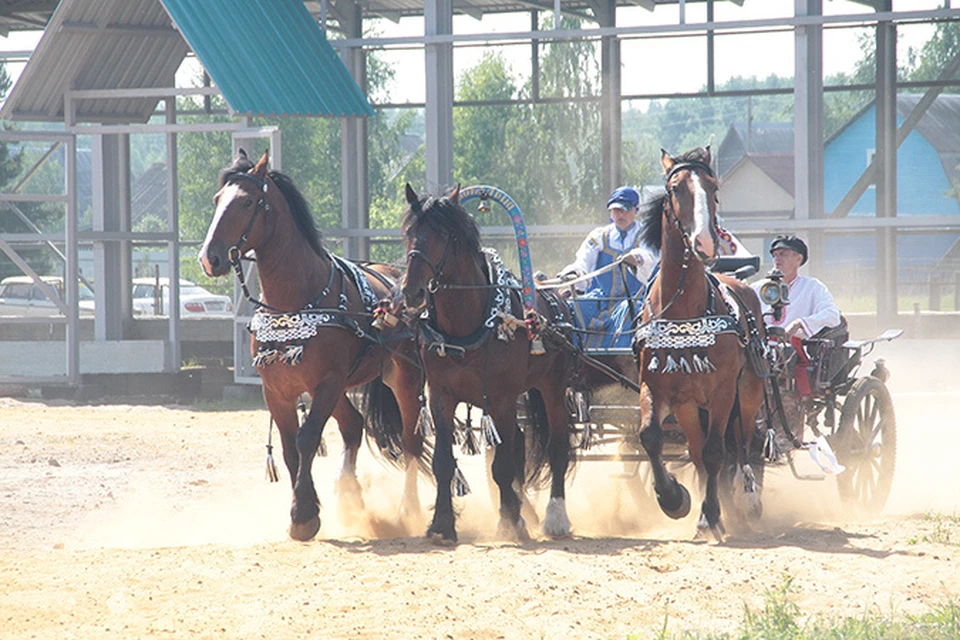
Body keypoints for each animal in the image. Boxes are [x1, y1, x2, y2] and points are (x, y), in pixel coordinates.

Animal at [198, 150, 424, 540]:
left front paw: (305, 515)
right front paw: (301, 511)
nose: (209, 258)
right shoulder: (277, 390)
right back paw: (349, 494)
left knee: (411, 441)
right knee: (353, 426)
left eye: (246, 202)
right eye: (217, 200)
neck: (295, 301)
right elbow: (290, 448)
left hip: (404, 378)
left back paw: (408, 509)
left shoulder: (327, 382)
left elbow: (306, 439)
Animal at [396, 182, 568, 544]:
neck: (467, 325)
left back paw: (555, 516)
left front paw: (511, 521)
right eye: (409, 232)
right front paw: (442, 524)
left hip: (553, 386)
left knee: (558, 446)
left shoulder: (501, 398)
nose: (412, 291)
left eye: (444, 234)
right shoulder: (441, 395)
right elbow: (444, 462)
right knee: (518, 443)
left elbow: (502, 465)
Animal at [632, 146, 768, 540]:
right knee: (697, 449)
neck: (684, 310)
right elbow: (651, 437)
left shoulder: (723, 391)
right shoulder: (655, 387)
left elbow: (715, 453)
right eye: (675, 188)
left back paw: (745, 501)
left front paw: (710, 513)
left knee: (742, 445)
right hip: (689, 407)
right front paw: (674, 499)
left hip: (748, 395)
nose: (705, 242)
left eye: (714, 188)